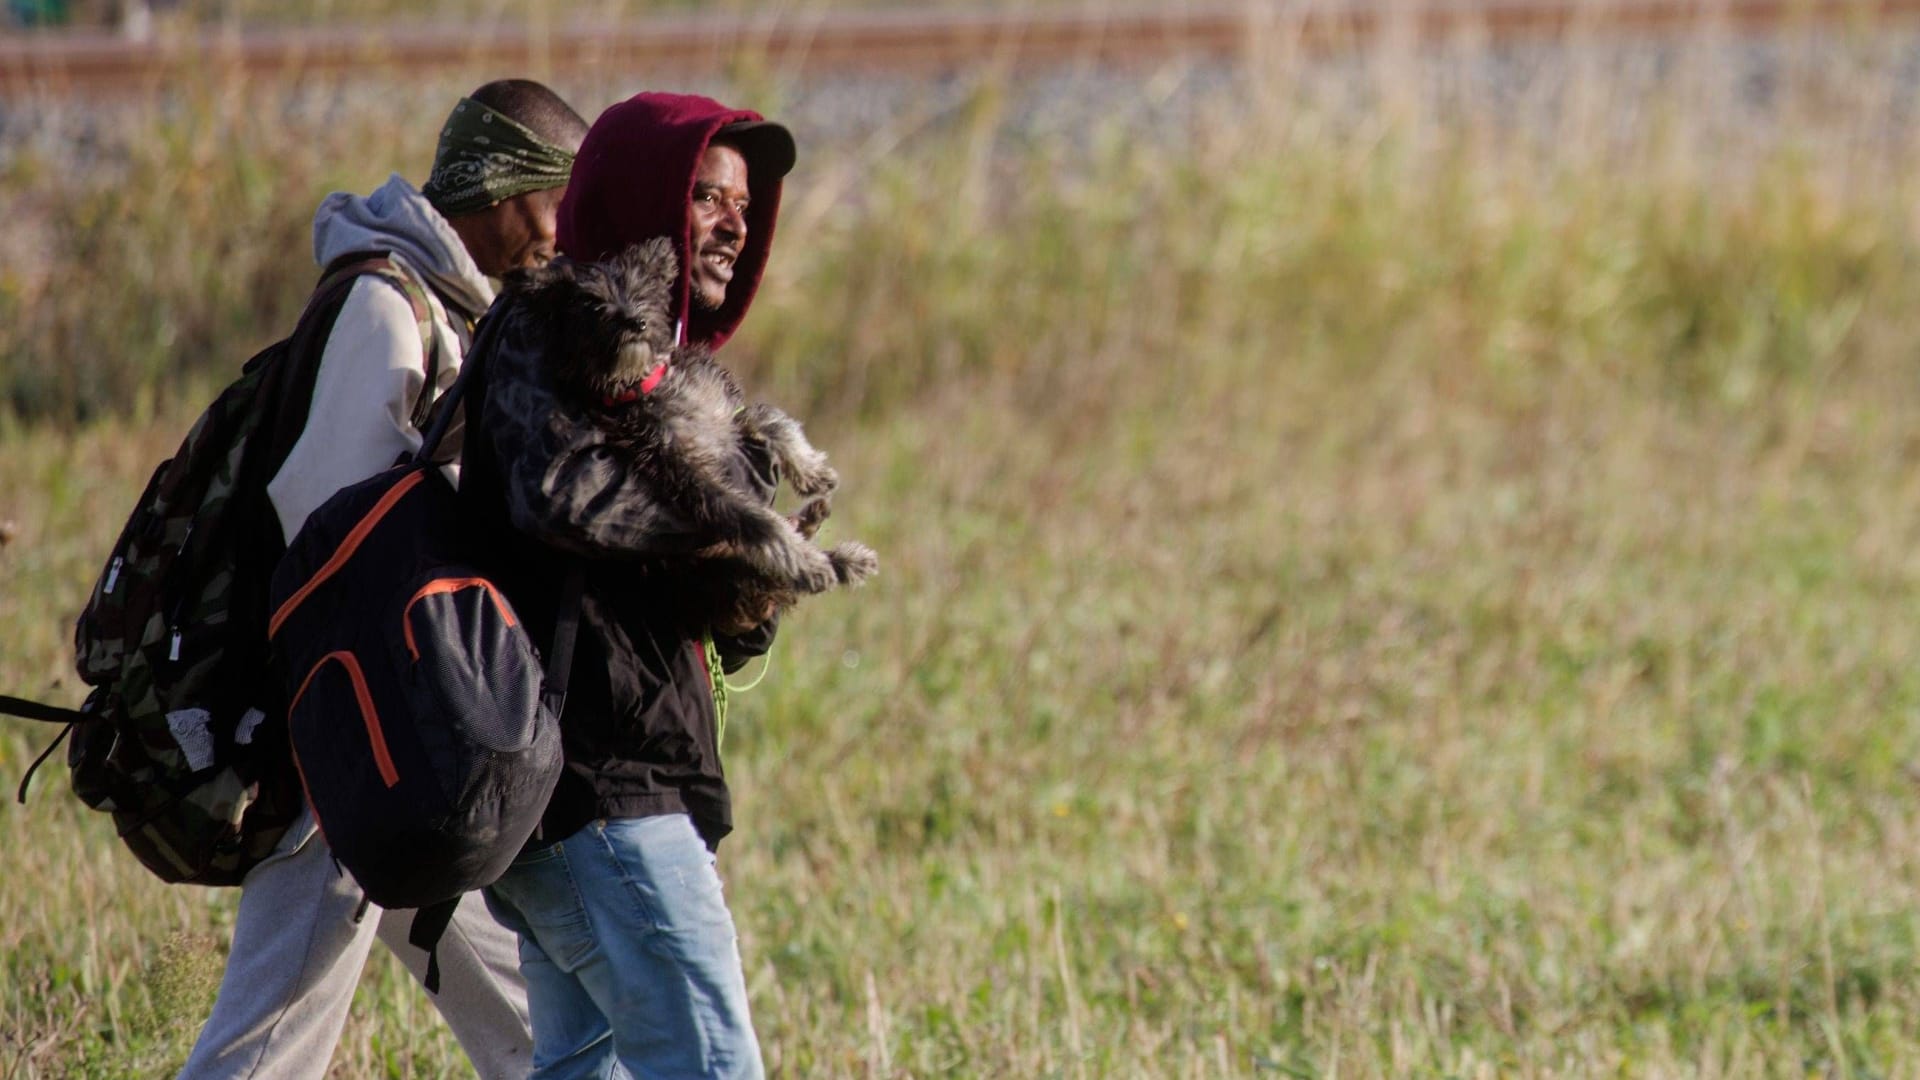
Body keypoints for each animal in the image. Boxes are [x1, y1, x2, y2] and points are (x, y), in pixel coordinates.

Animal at [503, 237, 879, 622]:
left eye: (642, 291)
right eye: (591, 303)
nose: (635, 321)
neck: (646, 385)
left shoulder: (727, 415)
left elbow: (770, 417)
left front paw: (813, 472)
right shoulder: (691, 479)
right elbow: (760, 523)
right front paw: (808, 565)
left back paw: (844, 556)